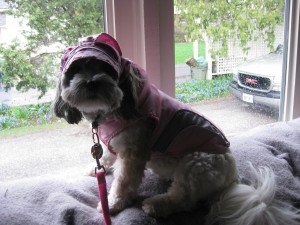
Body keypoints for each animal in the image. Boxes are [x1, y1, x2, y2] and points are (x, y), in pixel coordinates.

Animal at [53, 33, 300, 225]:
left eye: (106, 69)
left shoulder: (133, 152)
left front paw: (113, 203)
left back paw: (156, 204)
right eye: (75, 70)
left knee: (184, 199)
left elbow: (124, 181)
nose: (91, 81)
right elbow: (106, 156)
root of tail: (232, 179)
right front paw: (98, 167)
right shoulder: (114, 143)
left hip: (194, 162)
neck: (116, 107)